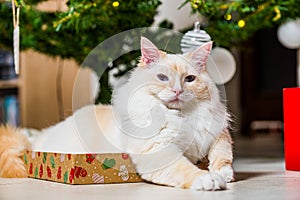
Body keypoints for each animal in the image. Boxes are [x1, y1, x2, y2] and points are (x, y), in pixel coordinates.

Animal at [0, 36, 234, 191]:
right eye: (162, 78)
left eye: (190, 79)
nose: (177, 91)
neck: (180, 116)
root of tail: (35, 140)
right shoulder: (158, 149)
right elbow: (186, 168)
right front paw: (208, 179)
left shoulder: (218, 133)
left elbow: (222, 155)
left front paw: (223, 173)